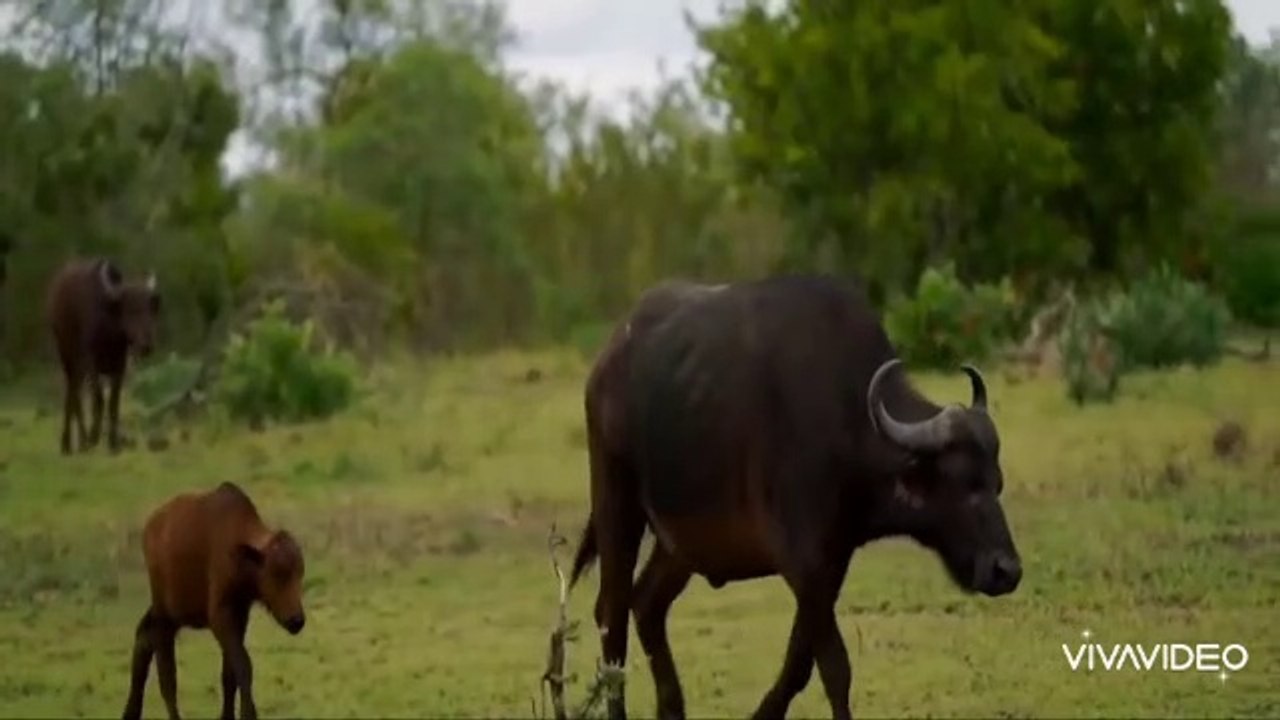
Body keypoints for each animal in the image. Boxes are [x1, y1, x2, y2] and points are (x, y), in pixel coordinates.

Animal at [46, 257, 160, 454]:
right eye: (130, 309)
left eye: (148, 309)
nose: (146, 346)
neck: (110, 334)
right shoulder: (91, 363)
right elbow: (98, 400)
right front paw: (94, 437)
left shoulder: (119, 366)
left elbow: (114, 402)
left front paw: (114, 443)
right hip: (67, 356)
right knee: (72, 394)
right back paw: (72, 442)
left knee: (75, 393)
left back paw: (78, 442)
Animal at [122, 481, 307, 720]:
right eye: (277, 574)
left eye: (300, 573)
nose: (297, 620)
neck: (240, 554)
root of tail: (151, 526)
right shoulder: (220, 615)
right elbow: (243, 665)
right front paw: (248, 713)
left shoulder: (240, 615)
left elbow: (229, 674)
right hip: (164, 615)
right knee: (166, 674)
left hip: (168, 615)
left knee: (143, 638)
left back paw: (131, 711)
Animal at [567, 274, 1022, 720]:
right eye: (963, 485)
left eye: (996, 482)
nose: (1006, 571)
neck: (846, 420)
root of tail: (606, 362)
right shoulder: (802, 560)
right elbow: (835, 665)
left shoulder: (833, 562)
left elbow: (801, 661)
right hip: (616, 502)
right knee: (611, 611)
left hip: (680, 542)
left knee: (646, 604)